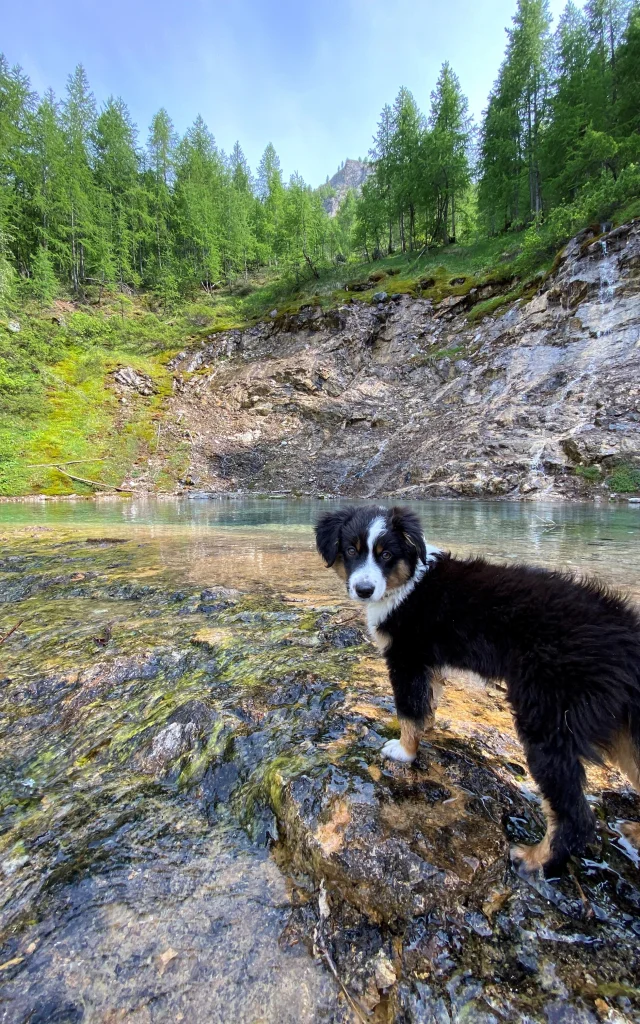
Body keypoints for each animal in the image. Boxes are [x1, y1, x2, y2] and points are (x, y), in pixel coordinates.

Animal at [315, 501, 638, 872]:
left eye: (386, 555)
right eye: (351, 550)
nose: (364, 590)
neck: (407, 584)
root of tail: (626, 634)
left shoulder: (407, 659)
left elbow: (409, 710)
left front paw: (405, 751)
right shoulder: (429, 664)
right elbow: (426, 704)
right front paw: (425, 730)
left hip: (548, 717)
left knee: (575, 816)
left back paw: (533, 860)